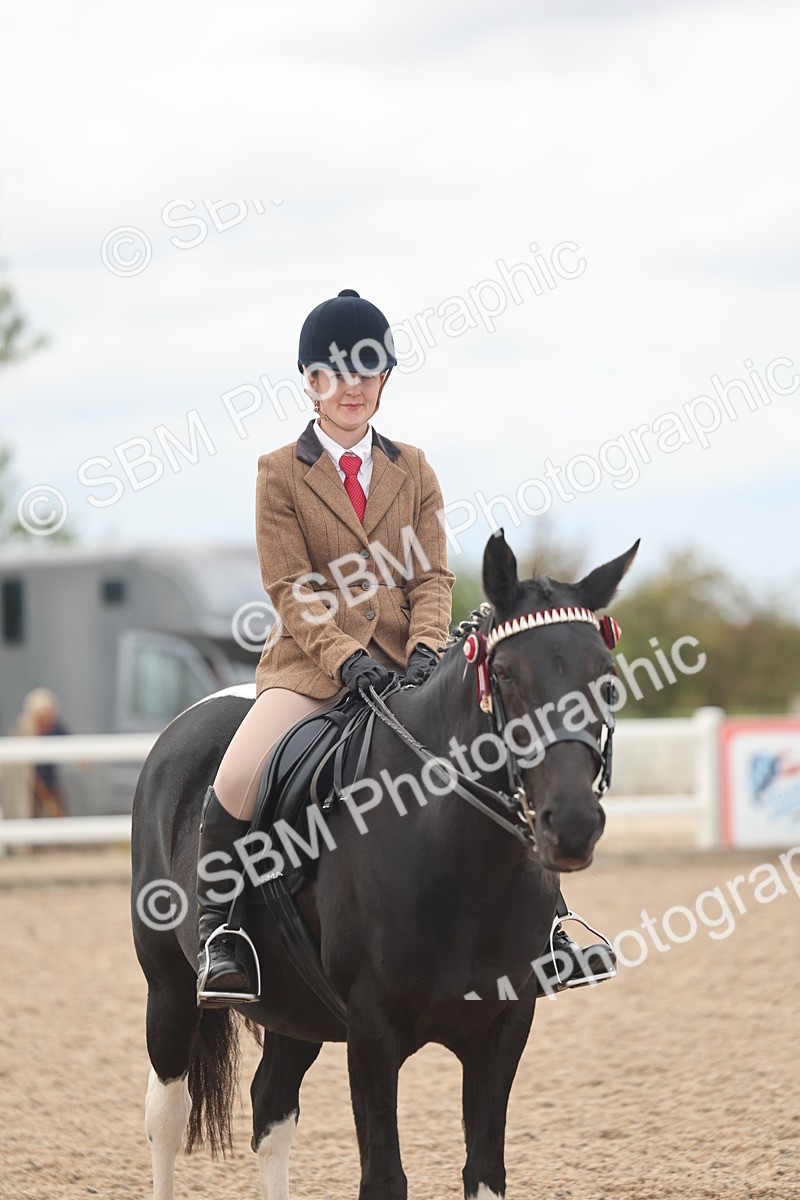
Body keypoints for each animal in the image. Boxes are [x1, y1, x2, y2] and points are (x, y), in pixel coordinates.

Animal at [131, 530, 638, 1200]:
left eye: (605, 678)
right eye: (503, 673)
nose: (573, 824)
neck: (461, 867)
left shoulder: (504, 1027)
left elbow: (484, 1171)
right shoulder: (372, 1032)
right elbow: (384, 1177)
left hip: (298, 1008)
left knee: (271, 1109)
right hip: (169, 987)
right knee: (167, 1113)